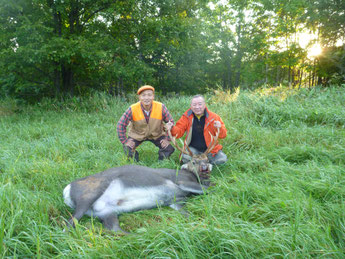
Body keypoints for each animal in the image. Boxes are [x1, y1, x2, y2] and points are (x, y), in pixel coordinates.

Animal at [62, 129, 218, 235]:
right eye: (194, 161)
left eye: (207, 159)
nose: (205, 168)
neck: (191, 175)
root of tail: (66, 190)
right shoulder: (181, 182)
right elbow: (209, 190)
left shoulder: (176, 201)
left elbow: (187, 213)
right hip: (89, 194)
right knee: (69, 224)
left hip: (106, 212)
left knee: (114, 229)